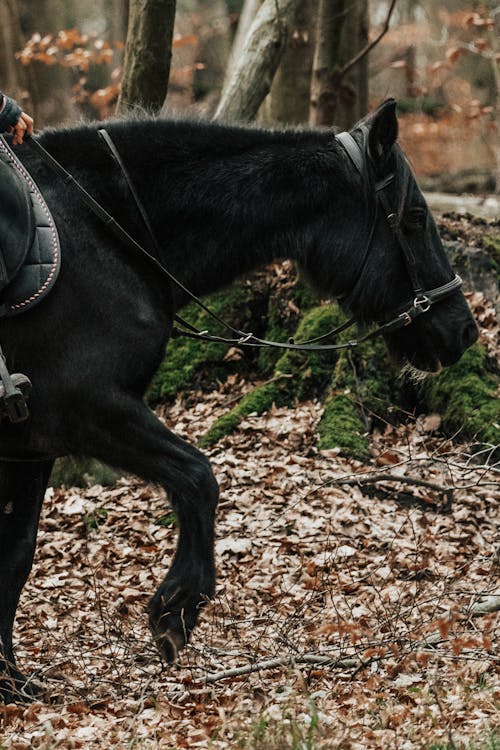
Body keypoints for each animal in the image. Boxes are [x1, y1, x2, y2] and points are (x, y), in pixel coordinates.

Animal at [0, 101, 476, 704]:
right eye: (413, 218)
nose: (464, 330)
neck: (104, 232)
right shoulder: (91, 408)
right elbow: (198, 476)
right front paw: (177, 610)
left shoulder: (31, 447)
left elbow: (15, 555)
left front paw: (10, 683)